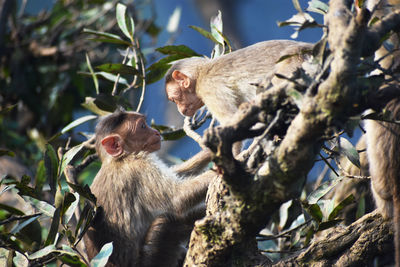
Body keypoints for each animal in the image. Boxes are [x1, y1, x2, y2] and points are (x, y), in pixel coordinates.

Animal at [83, 110, 216, 266]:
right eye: (142, 126)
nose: (156, 132)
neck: (118, 159)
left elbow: (178, 173)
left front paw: (213, 150)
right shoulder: (139, 167)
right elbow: (178, 197)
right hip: (151, 260)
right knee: (165, 223)